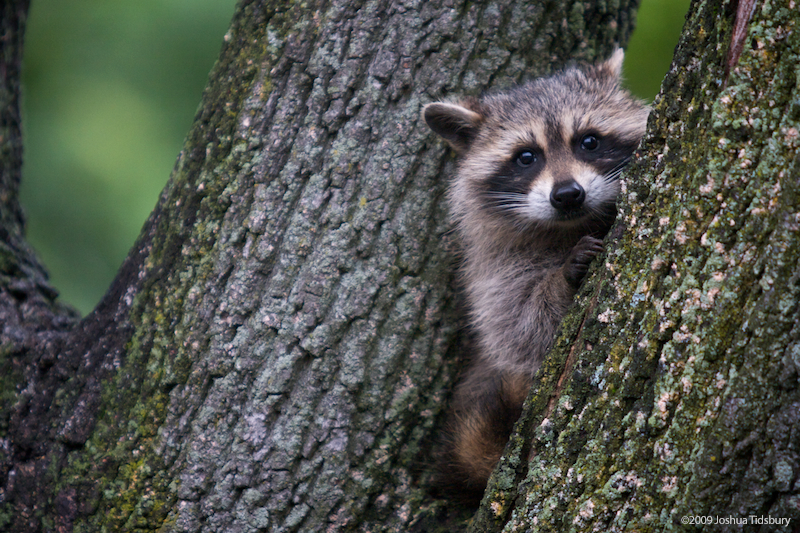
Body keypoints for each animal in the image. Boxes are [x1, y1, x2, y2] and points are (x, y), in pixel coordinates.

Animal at [424, 48, 648, 498]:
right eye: (526, 156)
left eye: (589, 141)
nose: (567, 195)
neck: (570, 226)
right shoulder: (493, 269)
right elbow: (520, 330)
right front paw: (561, 279)